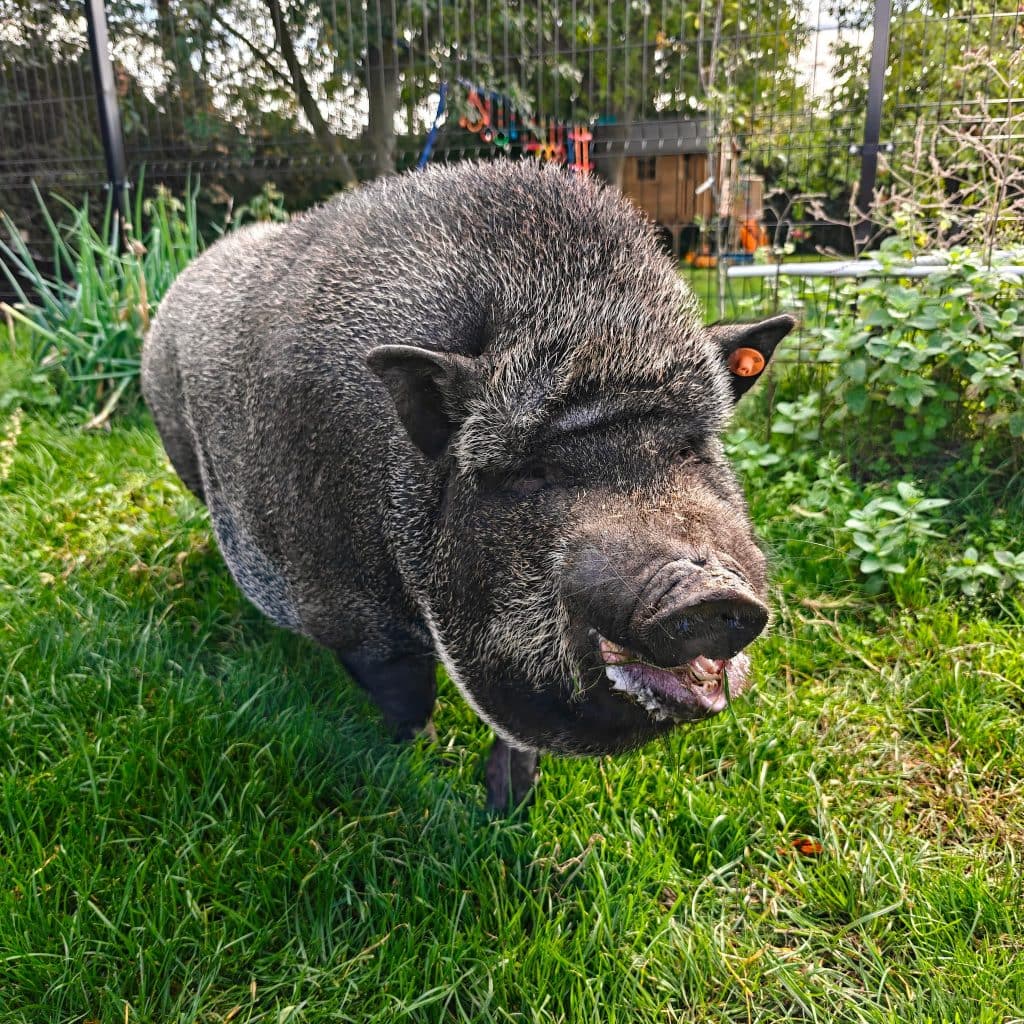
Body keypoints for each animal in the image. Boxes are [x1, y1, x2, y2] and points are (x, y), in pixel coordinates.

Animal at [141, 160, 795, 809]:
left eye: (690, 448)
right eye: (531, 472)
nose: (709, 590)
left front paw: (511, 802)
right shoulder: (348, 611)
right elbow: (407, 696)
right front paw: (422, 763)